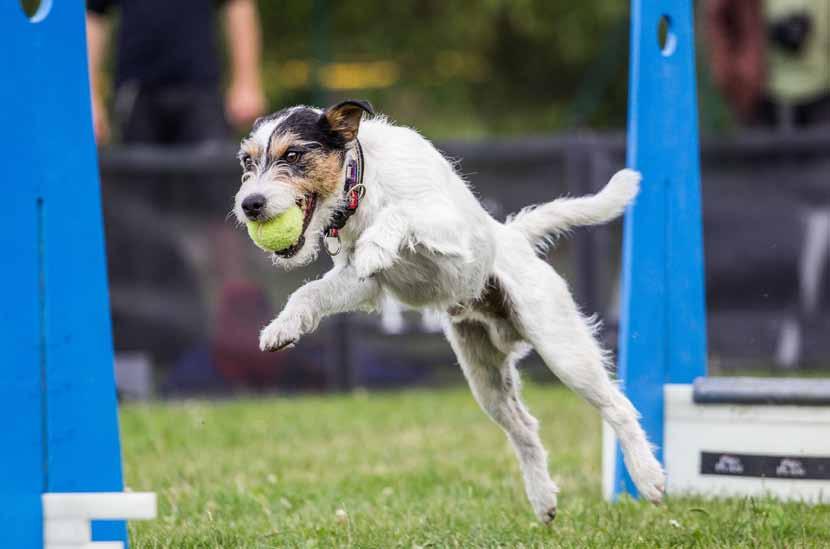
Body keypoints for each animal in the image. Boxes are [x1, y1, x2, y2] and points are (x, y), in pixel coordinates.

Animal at [237, 99, 668, 524]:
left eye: (293, 154)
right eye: (247, 160)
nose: (249, 204)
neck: (363, 185)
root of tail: (512, 236)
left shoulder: (448, 228)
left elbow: (402, 213)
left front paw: (377, 243)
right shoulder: (361, 282)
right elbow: (309, 293)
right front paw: (282, 327)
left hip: (563, 349)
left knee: (618, 406)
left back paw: (648, 477)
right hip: (485, 378)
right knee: (524, 429)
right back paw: (543, 499)